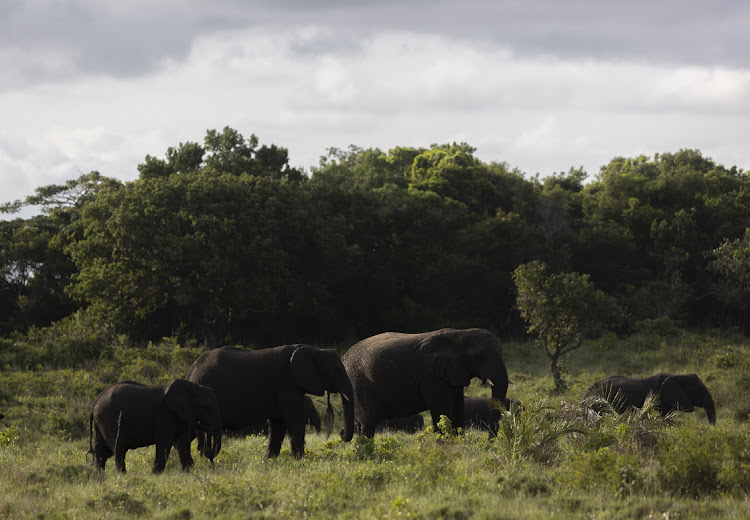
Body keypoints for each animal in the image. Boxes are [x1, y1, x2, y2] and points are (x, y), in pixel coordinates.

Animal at [89, 378, 222, 476]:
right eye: (207, 407)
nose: (211, 461)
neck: (193, 387)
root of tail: (94, 404)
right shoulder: (165, 414)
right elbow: (164, 442)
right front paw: (155, 475)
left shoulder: (181, 417)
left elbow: (182, 442)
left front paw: (187, 472)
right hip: (109, 418)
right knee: (119, 447)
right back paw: (122, 475)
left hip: (101, 420)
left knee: (102, 450)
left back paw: (99, 475)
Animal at [185, 346, 356, 460]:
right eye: (336, 369)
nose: (341, 432)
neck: (313, 349)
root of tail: (191, 371)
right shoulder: (286, 384)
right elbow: (294, 420)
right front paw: (299, 460)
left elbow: (278, 424)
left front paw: (269, 460)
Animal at [342, 328, 512, 436]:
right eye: (480, 356)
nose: (490, 442)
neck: (460, 334)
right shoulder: (431, 377)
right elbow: (443, 410)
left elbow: (458, 407)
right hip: (358, 382)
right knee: (369, 420)